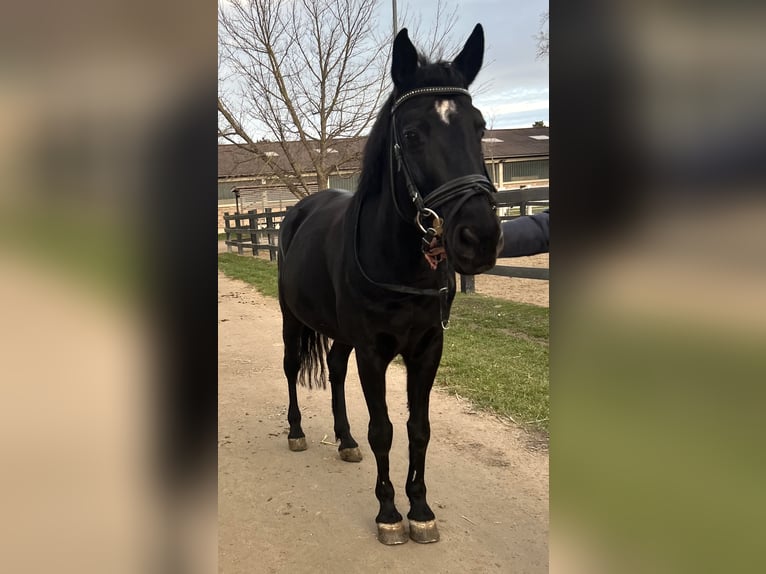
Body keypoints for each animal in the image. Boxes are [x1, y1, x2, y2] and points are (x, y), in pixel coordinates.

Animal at [278, 23, 504, 544]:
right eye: (413, 134)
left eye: (479, 126)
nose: (480, 237)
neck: (401, 266)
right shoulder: (373, 351)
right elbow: (383, 429)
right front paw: (387, 513)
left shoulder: (427, 349)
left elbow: (418, 428)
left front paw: (419, 509)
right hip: (292, 319)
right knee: (292, 366)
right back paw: (297, 432)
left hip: (340, 335)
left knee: (335, 371)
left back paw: (344, 439)